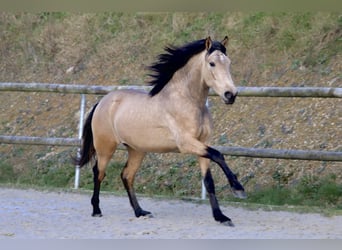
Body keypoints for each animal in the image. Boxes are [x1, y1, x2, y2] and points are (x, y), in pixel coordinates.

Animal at [76, 36, 246, 227]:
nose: (230, 95)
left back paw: (140, 212)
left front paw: (221, 216)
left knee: (127, 175)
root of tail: (102, 101)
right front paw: (238, 189)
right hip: (105, 148)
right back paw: (97, 210)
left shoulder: (203, 144)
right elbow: (218, 155)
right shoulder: (186, 143)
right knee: (99, 173)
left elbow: (209, 181)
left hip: (136, 150)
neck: (188, 101)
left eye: (229, 63)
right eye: (212, 63)